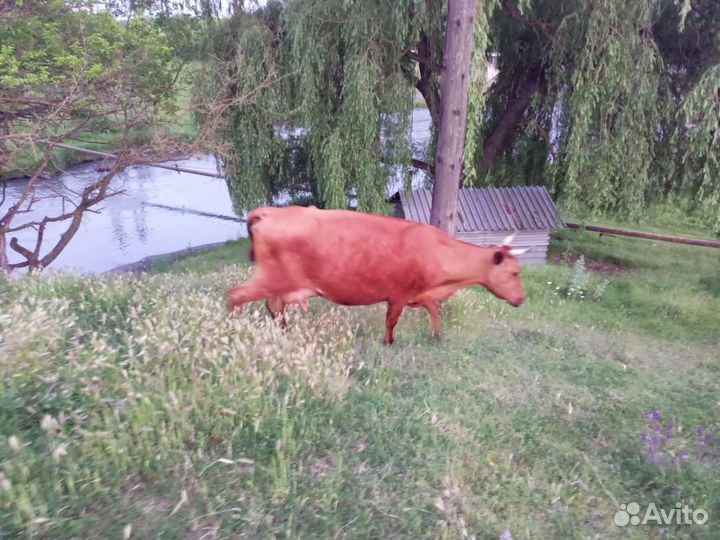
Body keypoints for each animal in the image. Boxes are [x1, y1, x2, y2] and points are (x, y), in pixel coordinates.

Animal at [227, 205, 527, 344]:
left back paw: (282, 331)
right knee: (236, 296)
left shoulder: (422, 294)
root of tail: (268, 212)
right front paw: (388, 342)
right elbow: (391, 320)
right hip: (271, 278)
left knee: (274, 306)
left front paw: (436, 335)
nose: (522, 300)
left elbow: (435, 311)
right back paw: (233, 330)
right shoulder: (399, 294)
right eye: (515, 272)